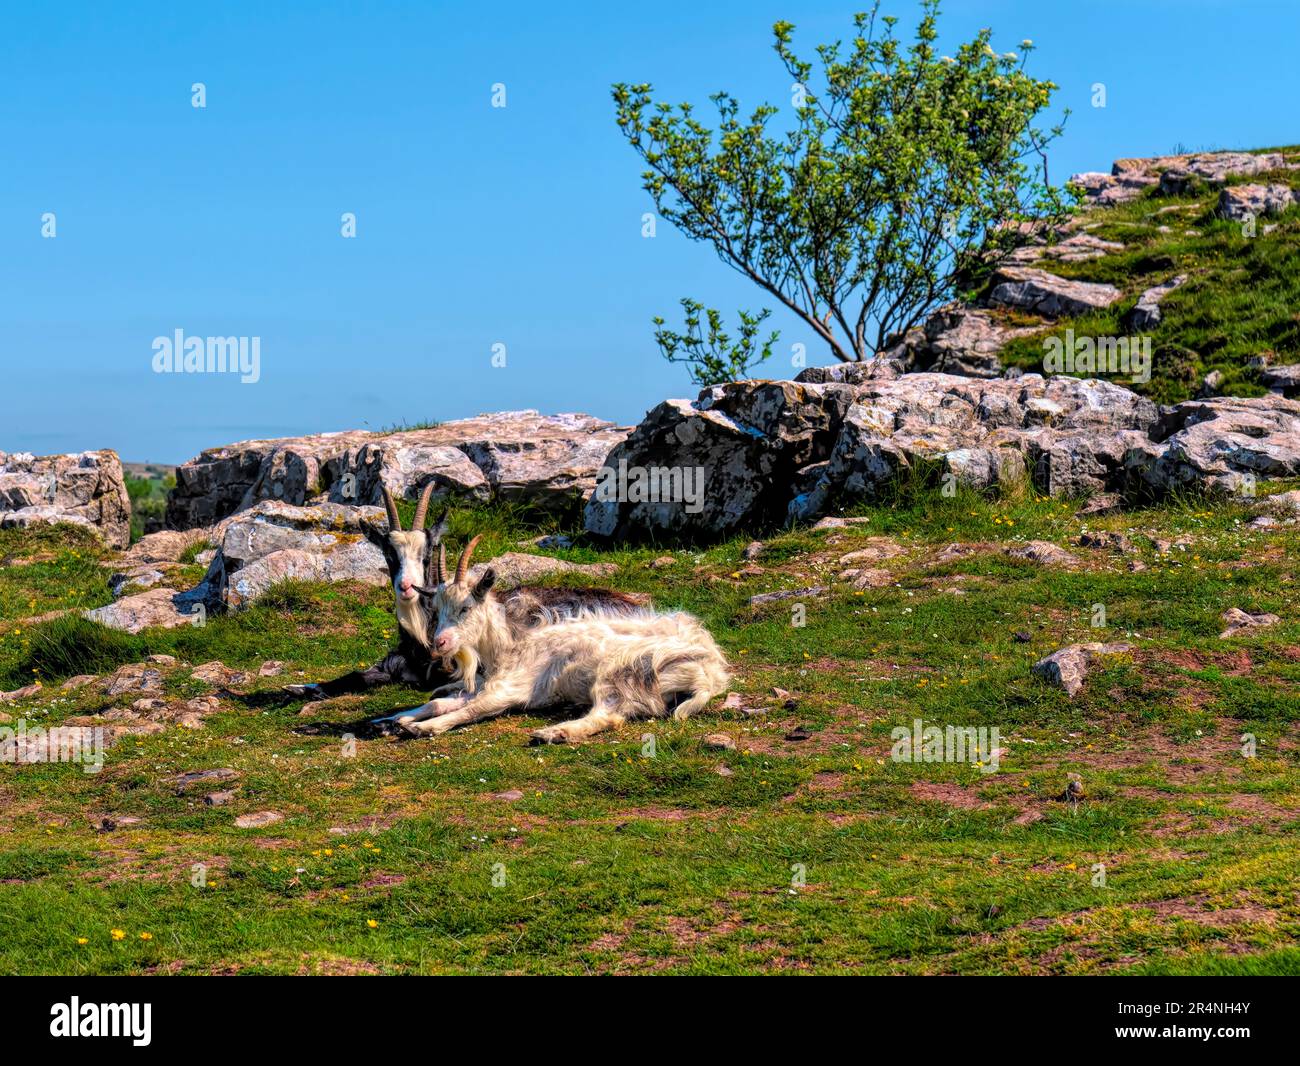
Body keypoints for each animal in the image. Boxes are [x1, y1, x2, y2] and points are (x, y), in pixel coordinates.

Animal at [283, 485, 647, 702]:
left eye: (427, 553)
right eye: (388, 554)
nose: (406, 587)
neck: (422, 636)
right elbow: (354, 676)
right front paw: (298, 687)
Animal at [396, 535, 729, 744]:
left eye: (465, 608)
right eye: (436, 610)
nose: (439, 643)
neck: (511, 648)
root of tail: (709, 673)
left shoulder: (511, 690)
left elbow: (471, 709)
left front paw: (423, 727)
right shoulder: (483, 685)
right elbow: (438, 701)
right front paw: (400, 718)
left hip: (618, 672)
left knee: (608, 716)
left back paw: (554, 733)